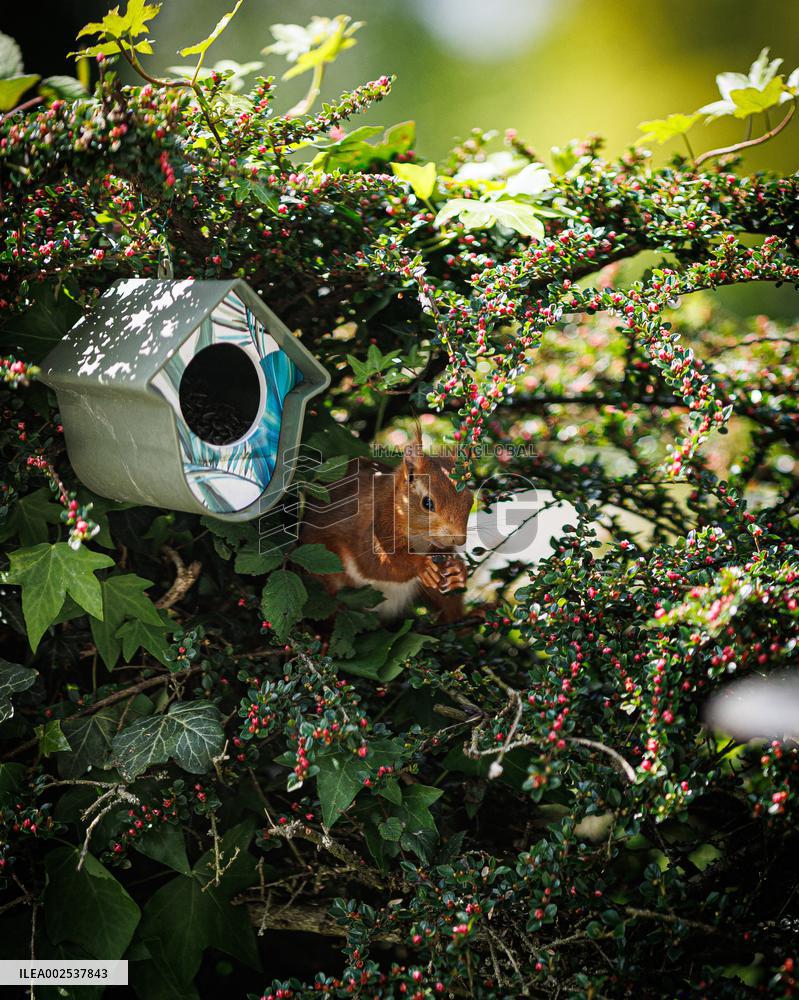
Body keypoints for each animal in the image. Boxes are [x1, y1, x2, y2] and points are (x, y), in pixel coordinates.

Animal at [300, 428, 473, 623]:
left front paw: (458, 570)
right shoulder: (374, 526)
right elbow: (376, 564)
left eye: (470, 500)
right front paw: (422, 565)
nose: (459, 540)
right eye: (427, 503)